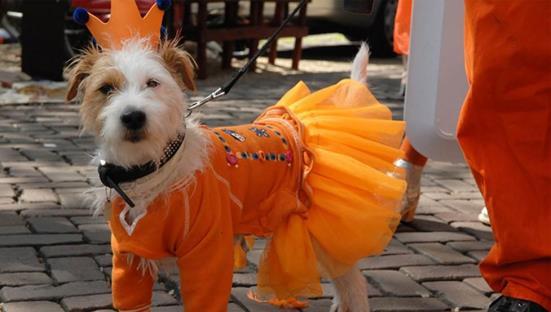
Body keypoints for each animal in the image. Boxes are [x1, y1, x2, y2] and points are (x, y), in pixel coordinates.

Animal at [67, 39, 404, 312]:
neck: (155, 169)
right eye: (106, 89)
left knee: (354, 280)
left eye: (153, 83)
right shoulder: (128, 259)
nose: (133, 116)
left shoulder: (208, 256)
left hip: (324, 231)